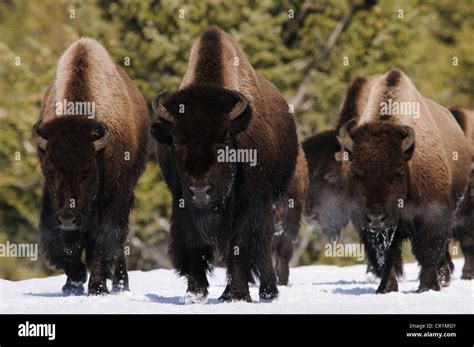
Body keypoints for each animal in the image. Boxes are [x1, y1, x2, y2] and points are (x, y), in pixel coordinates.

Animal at [31, 38, 149, 296]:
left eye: (88, 170)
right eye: (49, 170)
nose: (68, 219)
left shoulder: (113, 197)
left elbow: (103, 241)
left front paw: (97, 287)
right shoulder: (52, 204)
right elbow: (63, 245)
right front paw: (73, 281)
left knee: (118, 240)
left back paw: (120, 284)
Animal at [150, 27, 298, 304]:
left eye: (225, 139)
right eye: (177, 141)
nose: (200, 191)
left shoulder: (251, 205)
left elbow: (241, 247)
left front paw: (240, 295)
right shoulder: (181, 203)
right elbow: (193, 244)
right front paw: (195, 294)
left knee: (261, 246)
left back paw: (267, 292)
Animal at [336, 68, 470, 294]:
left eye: (398, 172)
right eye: (357, 173)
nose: (376, 218)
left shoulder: (431, 216)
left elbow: (427, 251)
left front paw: (427, 287)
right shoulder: (375, 229)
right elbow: (388, 257)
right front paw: (385, 288)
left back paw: (443, 278)